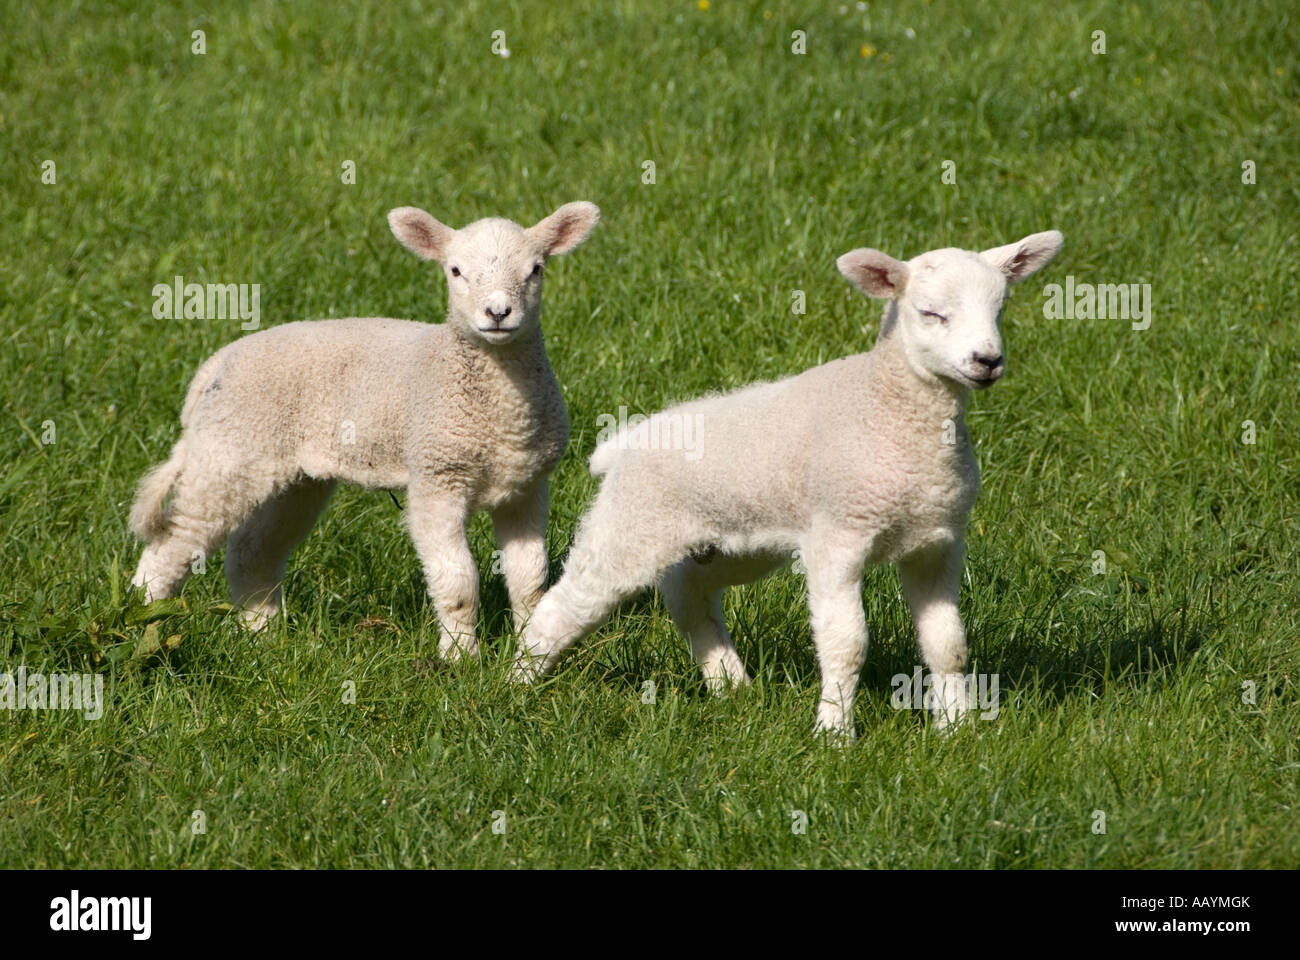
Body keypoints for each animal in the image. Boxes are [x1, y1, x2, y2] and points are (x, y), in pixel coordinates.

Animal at [130, 197, 598, 655]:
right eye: (455, 270)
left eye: (536, 269)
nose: (498, 312)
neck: (501, 417)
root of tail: (213, 367)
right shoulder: (436, 479)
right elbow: (459, 583)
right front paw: (460, 658)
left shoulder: (527, 486)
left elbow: (530, 581)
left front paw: (530, 648)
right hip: (227, 453)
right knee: (172, 544)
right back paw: (140, 621)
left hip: (292, 476)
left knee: (251, 552)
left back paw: (262, 637)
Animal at [512, 227, 1060, 738]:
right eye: (931, 314)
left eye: (1000, 310)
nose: (987, 361)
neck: (888, 406)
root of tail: (624, 442)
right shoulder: (838, 537)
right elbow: (846, 644)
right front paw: (834, 733)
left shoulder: (938, 542)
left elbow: (948, 645)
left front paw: (958, 729)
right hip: (631, 525)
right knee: (568, 602)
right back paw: (516, 682)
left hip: (729, 541)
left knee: (689, 595)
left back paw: (730, 686)